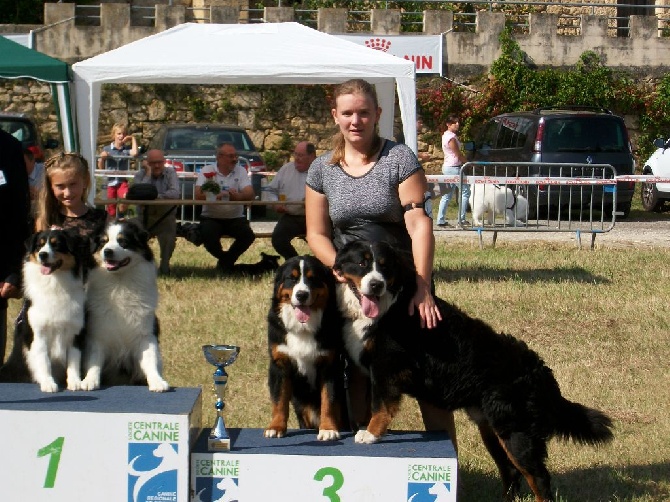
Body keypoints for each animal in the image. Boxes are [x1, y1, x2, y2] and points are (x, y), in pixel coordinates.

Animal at [334, 239, 616, 502]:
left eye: (385, 266)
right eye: (362, 263)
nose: (376, 285)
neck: (385, 308)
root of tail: (541, 372)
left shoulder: (386, 367)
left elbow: (381, 406)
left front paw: (370, 434)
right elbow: (369, 404)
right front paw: (364, 427)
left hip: (516, 431)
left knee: (538, 478)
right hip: (491, 428)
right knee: (511, 471)